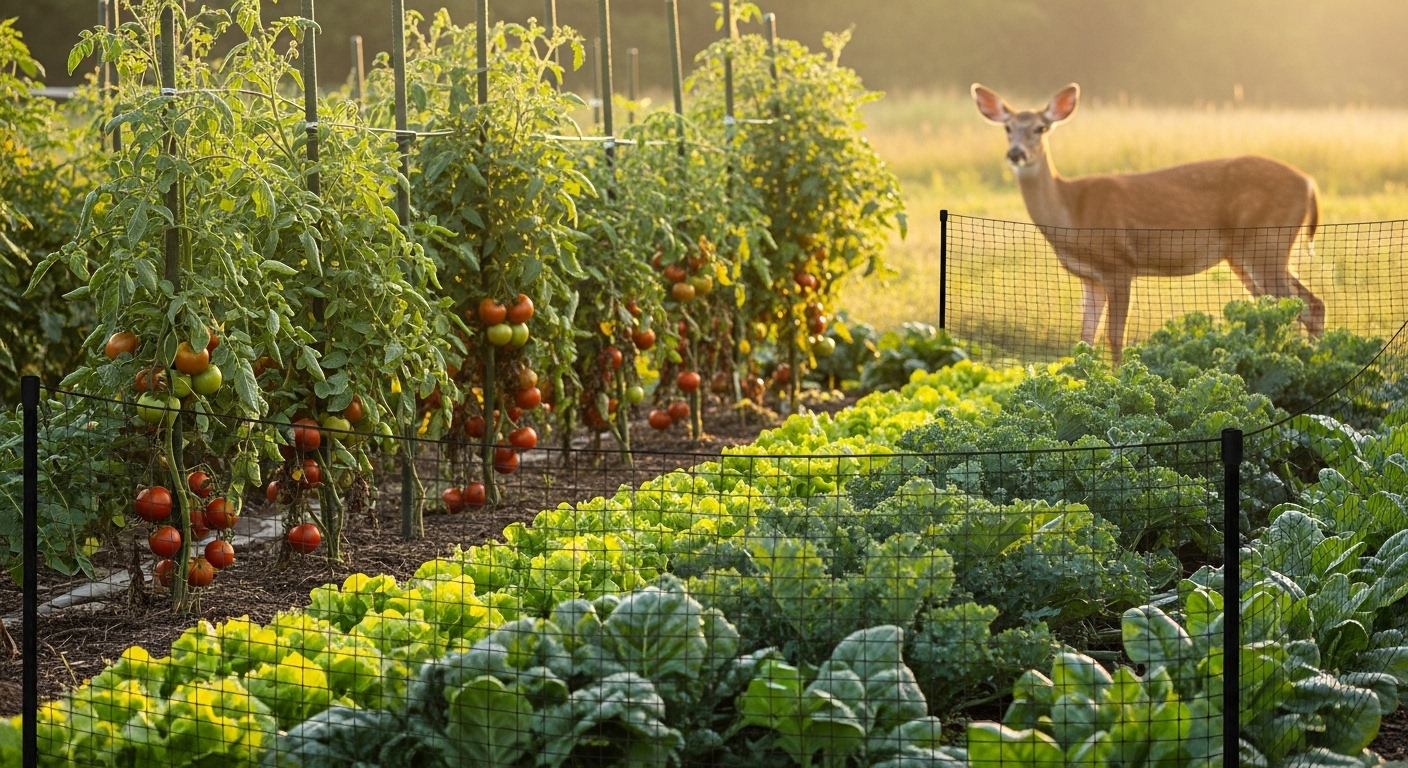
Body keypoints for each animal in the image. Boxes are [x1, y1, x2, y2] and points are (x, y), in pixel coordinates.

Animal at [971, 82, 1324, 364]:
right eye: (1007, 128)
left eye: (1041, 128)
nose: (1016, 153)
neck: (1071, 213)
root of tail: (1310, 185)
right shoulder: (1089, 277)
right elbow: (1084, 340)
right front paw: (1082, 379)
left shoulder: (1118, 265)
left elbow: (1115, 337)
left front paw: (1117, 380)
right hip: (1247, 254)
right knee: (1306, 305)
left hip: (1267, 242)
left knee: (1296, 306)